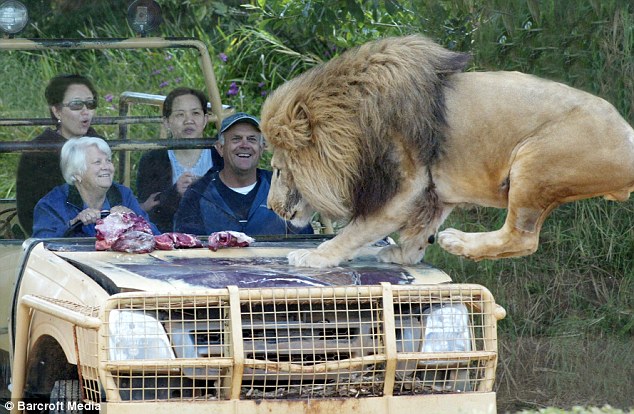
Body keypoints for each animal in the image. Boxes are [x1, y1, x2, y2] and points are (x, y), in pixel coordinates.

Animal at [258, 34, 632, 268]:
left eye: (277, 169)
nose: (270, 207)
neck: (351, 122)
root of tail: (627, 133)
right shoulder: (433, 189)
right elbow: (418, 231)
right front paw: (404, 255)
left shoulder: (405, 184)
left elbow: (358, 228)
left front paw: (317, 256)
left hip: (535, 161)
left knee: (522, 238)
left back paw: (458, 242)